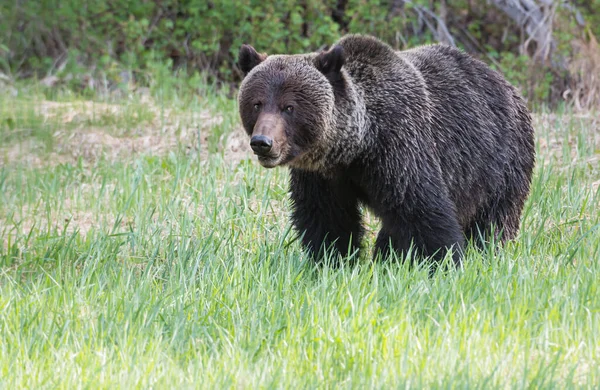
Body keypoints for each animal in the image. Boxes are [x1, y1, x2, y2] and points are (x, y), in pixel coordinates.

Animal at [237, 35, 536, 266]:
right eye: (257, 103)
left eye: (289, 107)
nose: (263, 142)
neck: (357, 146)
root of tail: (506, 84)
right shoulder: (321, 175)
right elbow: (327, 218)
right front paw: (332, 260)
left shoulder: (400, 150)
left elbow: (423, 212)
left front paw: (442, 262)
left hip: (499, 163)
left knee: (493, 221)